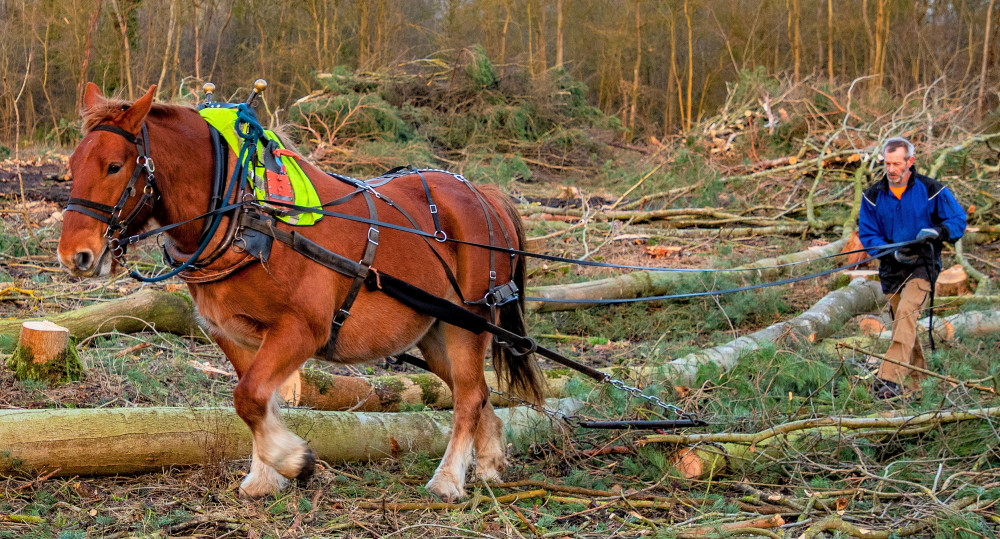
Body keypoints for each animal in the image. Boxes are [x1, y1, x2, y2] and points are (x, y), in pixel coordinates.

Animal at [58, 84, 544, 502]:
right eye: (72, 165)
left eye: (114, 166)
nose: (74, 255)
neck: (246, 212)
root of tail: (482, 193)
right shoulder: (234, 335)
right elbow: (258, 401)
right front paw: (265, 476)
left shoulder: (302, 329)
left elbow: (249, 397)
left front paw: (293, 460)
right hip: (435, 330)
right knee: (475, 391)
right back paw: (489, 462)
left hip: (470, 324)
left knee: (468, 398)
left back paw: (447, 480)